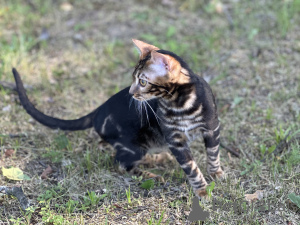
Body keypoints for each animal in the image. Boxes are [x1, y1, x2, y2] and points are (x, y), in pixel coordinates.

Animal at [11, 39, 223, 199]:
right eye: (133, 79)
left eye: (142, 81)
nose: (130, 92)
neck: (180, 104)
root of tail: (98, 110)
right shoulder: (174, 139)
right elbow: (191, 167)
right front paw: (202, 190)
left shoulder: (212, 126)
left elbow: (213, 154)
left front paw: (216, 174)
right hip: (134, 147)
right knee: (121, 164)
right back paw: (151, 175)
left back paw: (158, 157)